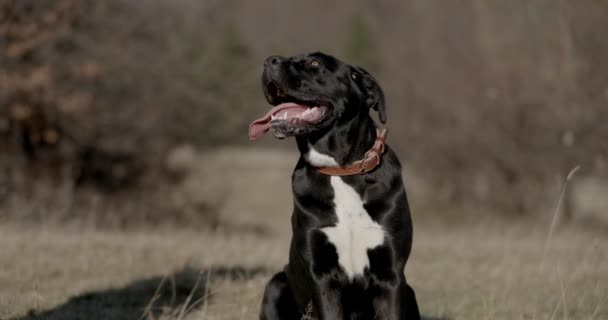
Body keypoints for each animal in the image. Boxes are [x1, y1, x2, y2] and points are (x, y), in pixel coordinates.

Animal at [247, 51, 418, 318]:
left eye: (315, 63)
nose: (269, 61)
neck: (340, 170)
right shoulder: (323, 275)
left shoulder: (391, 275)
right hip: (275, 285)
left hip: (409, 292)